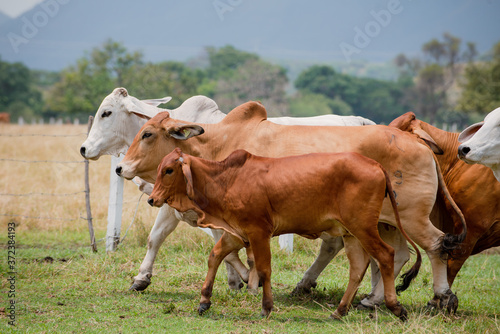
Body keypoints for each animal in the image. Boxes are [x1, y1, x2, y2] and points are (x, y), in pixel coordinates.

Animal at [81, 87, 406, 306]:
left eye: (107, 112)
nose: (84, 149)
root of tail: (365, 122)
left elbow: (218, 245)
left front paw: (245, 279)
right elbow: (159, 238)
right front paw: (142, 278)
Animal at [148, 149, 422, 320]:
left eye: (169, 170)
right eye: (159, 167)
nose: (152, 199)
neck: (226, 180)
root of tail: (375, 164)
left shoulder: (258, 232)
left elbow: (263, 269)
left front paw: (266, 307)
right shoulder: (236, 233)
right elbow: (215, 256)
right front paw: (204, 301)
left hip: (363, 228)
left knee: (386, 256)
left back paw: (395, 307)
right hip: (351, 234)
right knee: (358, 268)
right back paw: (340, 311)